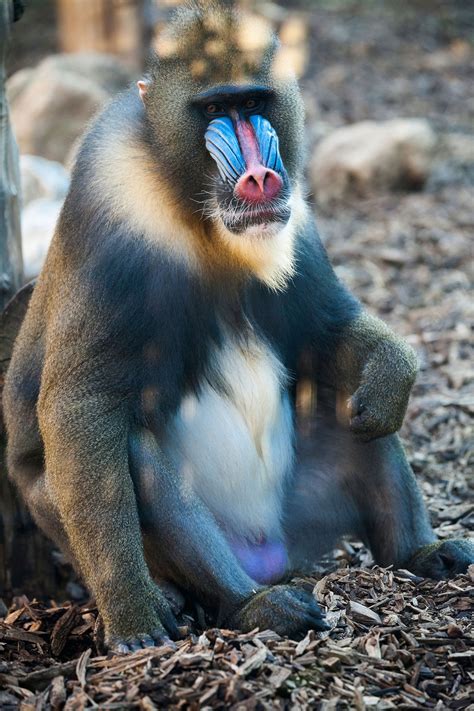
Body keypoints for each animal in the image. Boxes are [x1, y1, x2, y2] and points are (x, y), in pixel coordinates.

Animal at [3, 1, 473, 653]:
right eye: (212, 111)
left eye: (252, 102)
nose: (259, 179)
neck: (198, 217)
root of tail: (271, 555)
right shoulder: (111, 206)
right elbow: (81, 405)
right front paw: (132, 615)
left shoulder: (295, 224)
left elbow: (323, 333)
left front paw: (393, 374)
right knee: (137, 455)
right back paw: (251, 604)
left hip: (306, 512)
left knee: (347, 404)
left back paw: (421, 553)